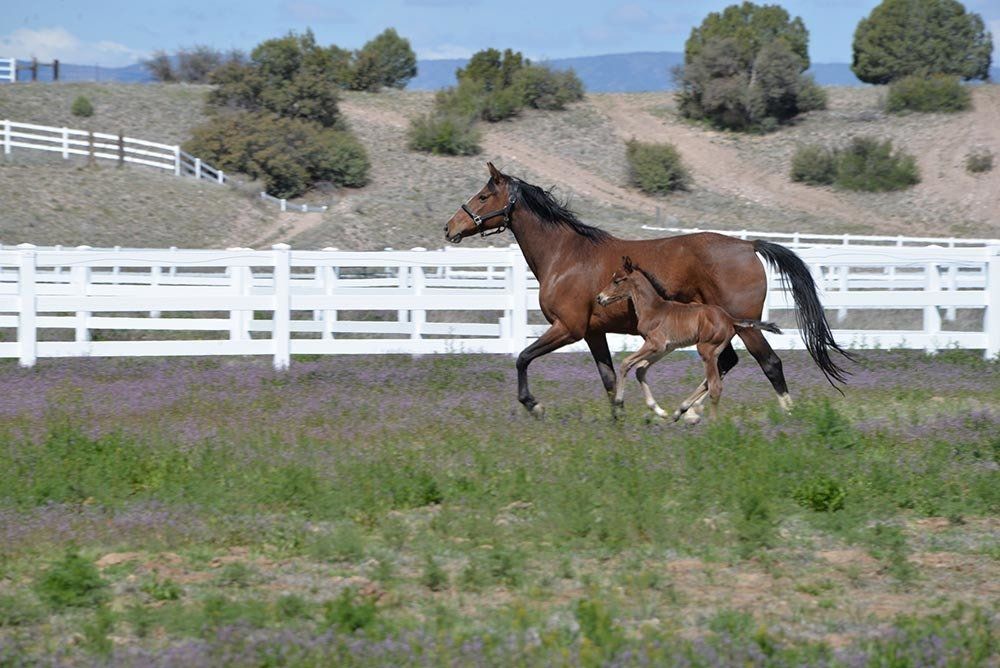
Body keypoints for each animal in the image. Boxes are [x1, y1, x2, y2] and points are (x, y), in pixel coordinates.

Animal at [596, 256, 782, 423]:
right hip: (713, 352)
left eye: (617, 281)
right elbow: (641, 369)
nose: (600, 298)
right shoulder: (664, 348)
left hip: (705, 349)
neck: (654, 309)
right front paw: (659, 411)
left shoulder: (654, 343)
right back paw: (680, 411)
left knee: (715, 386)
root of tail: (730, 319)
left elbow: (626, 363)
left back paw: (712, 425)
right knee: (712, 379)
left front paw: (619, 402)